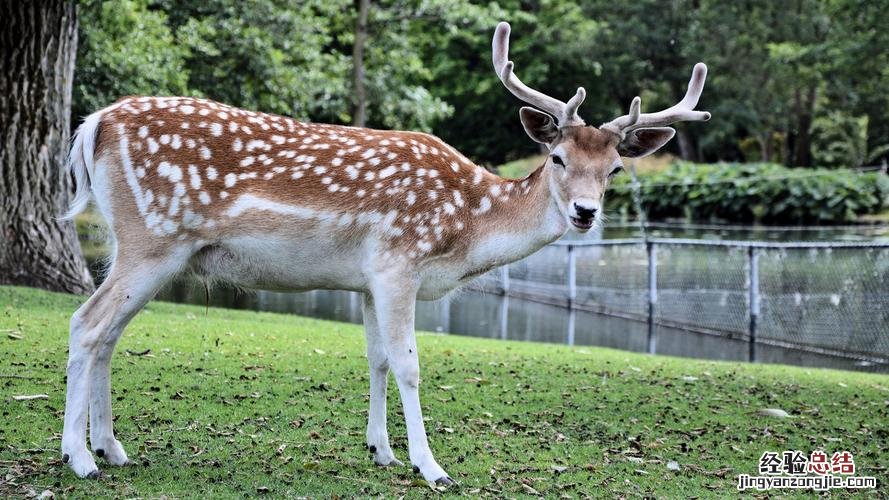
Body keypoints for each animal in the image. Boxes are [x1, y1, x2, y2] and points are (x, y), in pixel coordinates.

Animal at [59, 22, 708, 484]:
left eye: (615, 169)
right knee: (87, 323)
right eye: (557, 158)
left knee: (109, 332)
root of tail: (92, 125)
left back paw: (111, 448)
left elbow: (374, 359)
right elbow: (409, 364)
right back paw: (79, 458)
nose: (585, 212)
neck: (463, 232)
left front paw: (381, 451)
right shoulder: (400, 261)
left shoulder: (369, 278)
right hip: (154, 239)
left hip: (129, 242)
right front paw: (432, 466)